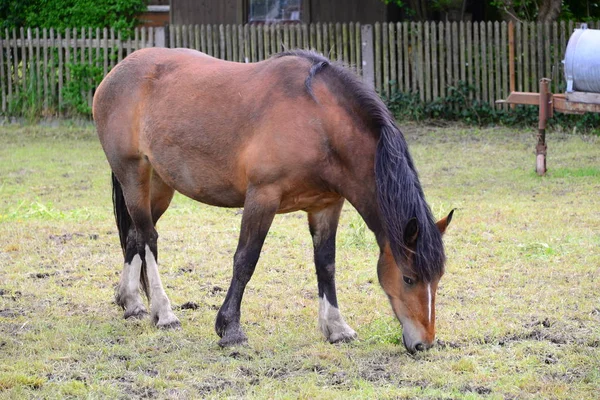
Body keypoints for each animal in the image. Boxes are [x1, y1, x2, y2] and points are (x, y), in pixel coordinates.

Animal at [91, 47, 452, 354]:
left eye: (437, 278)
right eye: (408, 278)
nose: (424, 343)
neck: (318, 123)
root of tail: (116, 73)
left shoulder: (326, 206)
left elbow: (326, 264)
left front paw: (337, 328)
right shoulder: (262, 197)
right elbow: (245, 260)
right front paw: (230, 329)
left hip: (160, 185)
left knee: (135, 236)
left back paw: (133, 303)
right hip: (133, 174)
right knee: (148, 238)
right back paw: (164, 313)